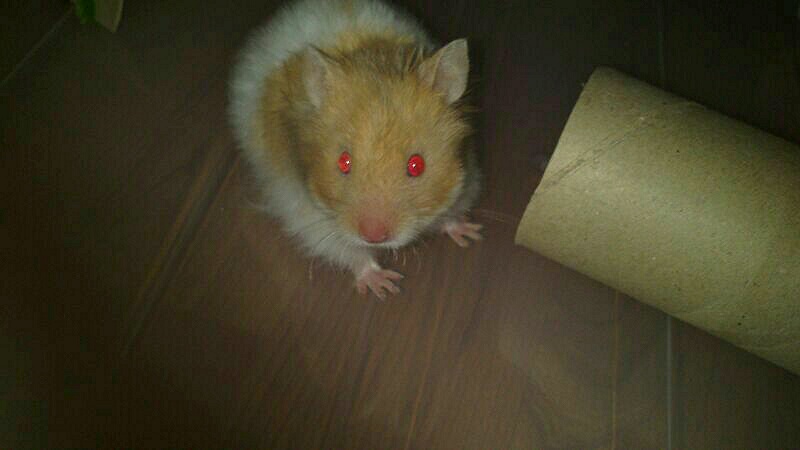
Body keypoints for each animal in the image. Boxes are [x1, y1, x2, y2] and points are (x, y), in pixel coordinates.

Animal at [229, 0, 481, 299]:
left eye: (417, 165)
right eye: (343, 162)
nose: (373, 236)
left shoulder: (465, 178)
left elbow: (450, 213)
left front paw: (471, 234)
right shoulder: (307, 214)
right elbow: (351, 252)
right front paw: (385, 286)